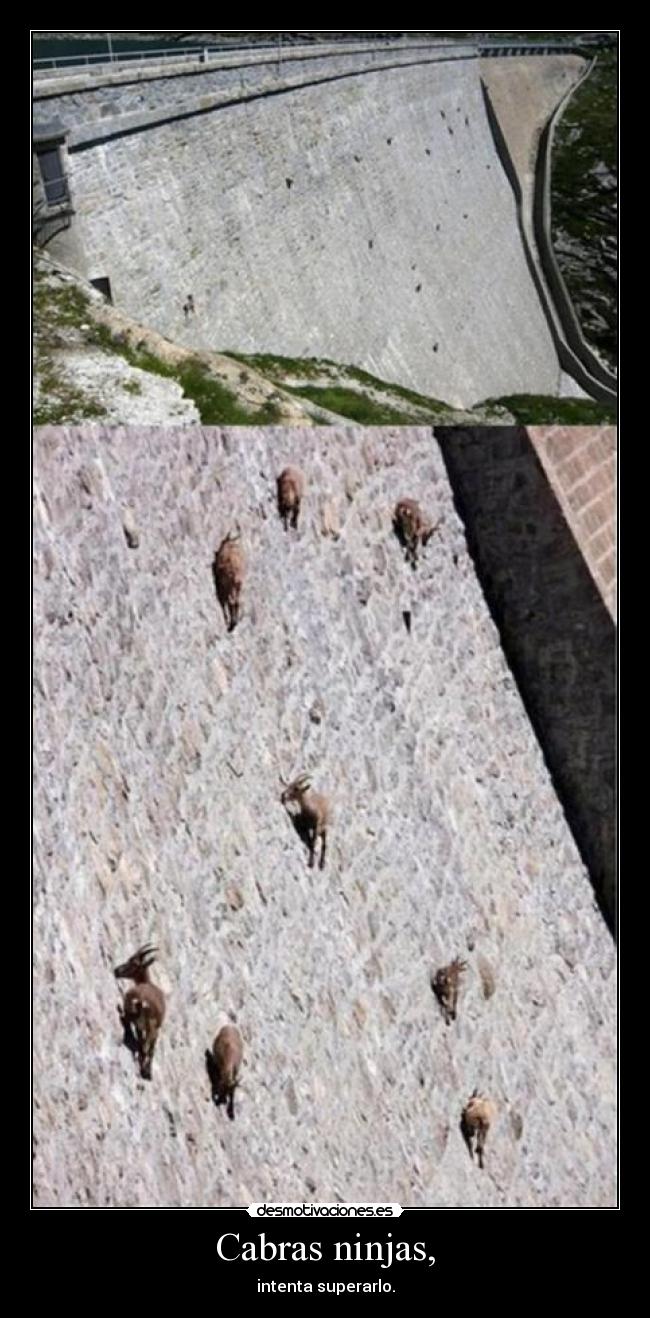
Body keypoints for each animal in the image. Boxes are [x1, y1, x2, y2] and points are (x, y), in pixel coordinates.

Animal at [114, 944, 166, 1081]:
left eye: (133, 963)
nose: (116, 971)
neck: (146, 982)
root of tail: (143, 1001)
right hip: (152, 1029)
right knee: (148, 1048)